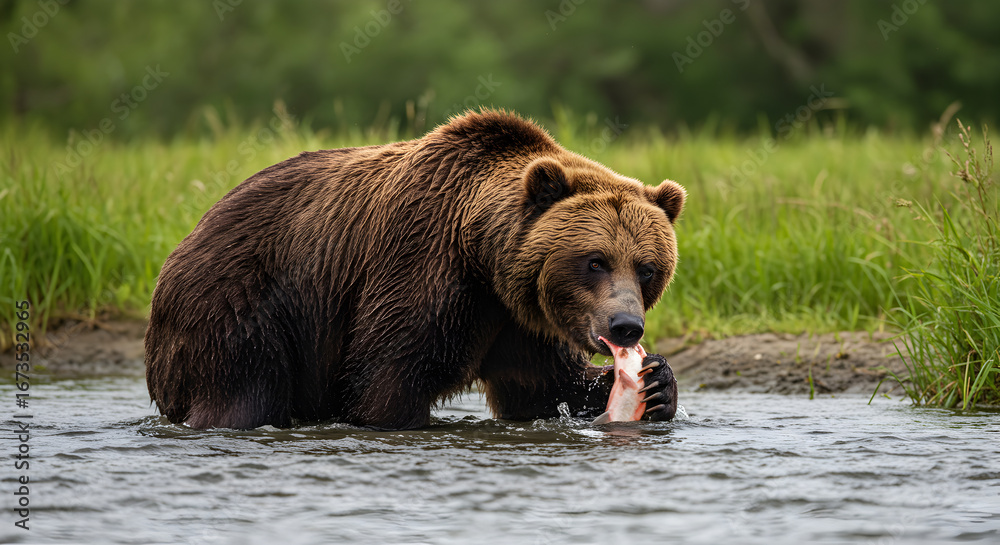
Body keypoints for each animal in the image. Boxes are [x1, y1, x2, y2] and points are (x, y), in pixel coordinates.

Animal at [144, 110, 684, 430]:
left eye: (647, 268)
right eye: (595, 261)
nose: (626, 325)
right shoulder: (420, 268)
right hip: (241, 306)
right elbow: (385, 379)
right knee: (242, 390)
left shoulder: (519, 317)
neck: (482, 257)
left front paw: (657, 382)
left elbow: (543, 386)